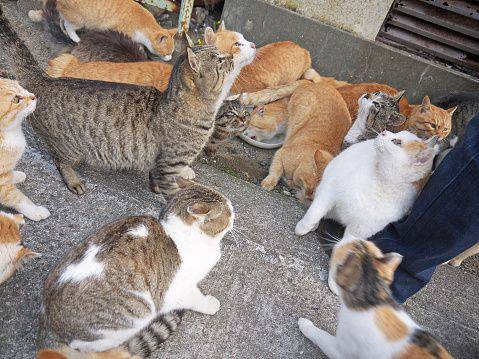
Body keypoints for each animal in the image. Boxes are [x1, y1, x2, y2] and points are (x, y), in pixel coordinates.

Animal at [0, 9, 253, 200]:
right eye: (220, 60)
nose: (229, 58)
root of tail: (45, 80)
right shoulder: (169, 164)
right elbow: (173, 193)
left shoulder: (159, 163)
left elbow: (155, 178)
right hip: (71, 148)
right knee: (59, 160)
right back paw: (73, 179)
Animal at [0, 78, 50, 222]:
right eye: (17, 99)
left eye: (20, 87)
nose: (34, 95)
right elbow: (17, 197)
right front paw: (35, 211)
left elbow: (9, 175)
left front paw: (16, 175)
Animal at [26, 0, 176, 60]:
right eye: (166, 52)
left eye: (171, 53)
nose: (169, 58)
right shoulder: (119, 32)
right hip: (80, 21)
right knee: (69, 26)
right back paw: (75, 38)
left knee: (62, 20)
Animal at [40, 184, 235, 358]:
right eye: (228, 212)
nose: (235, 211)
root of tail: (48, 325)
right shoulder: (175, 291)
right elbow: (195, 298)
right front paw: (209, 304)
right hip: (137, 314)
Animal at [300, 239, 454, 359]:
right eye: (363, 242)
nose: (348, 235)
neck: (374, 301)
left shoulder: (342, 350)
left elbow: (321, 335)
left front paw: (305, 325)